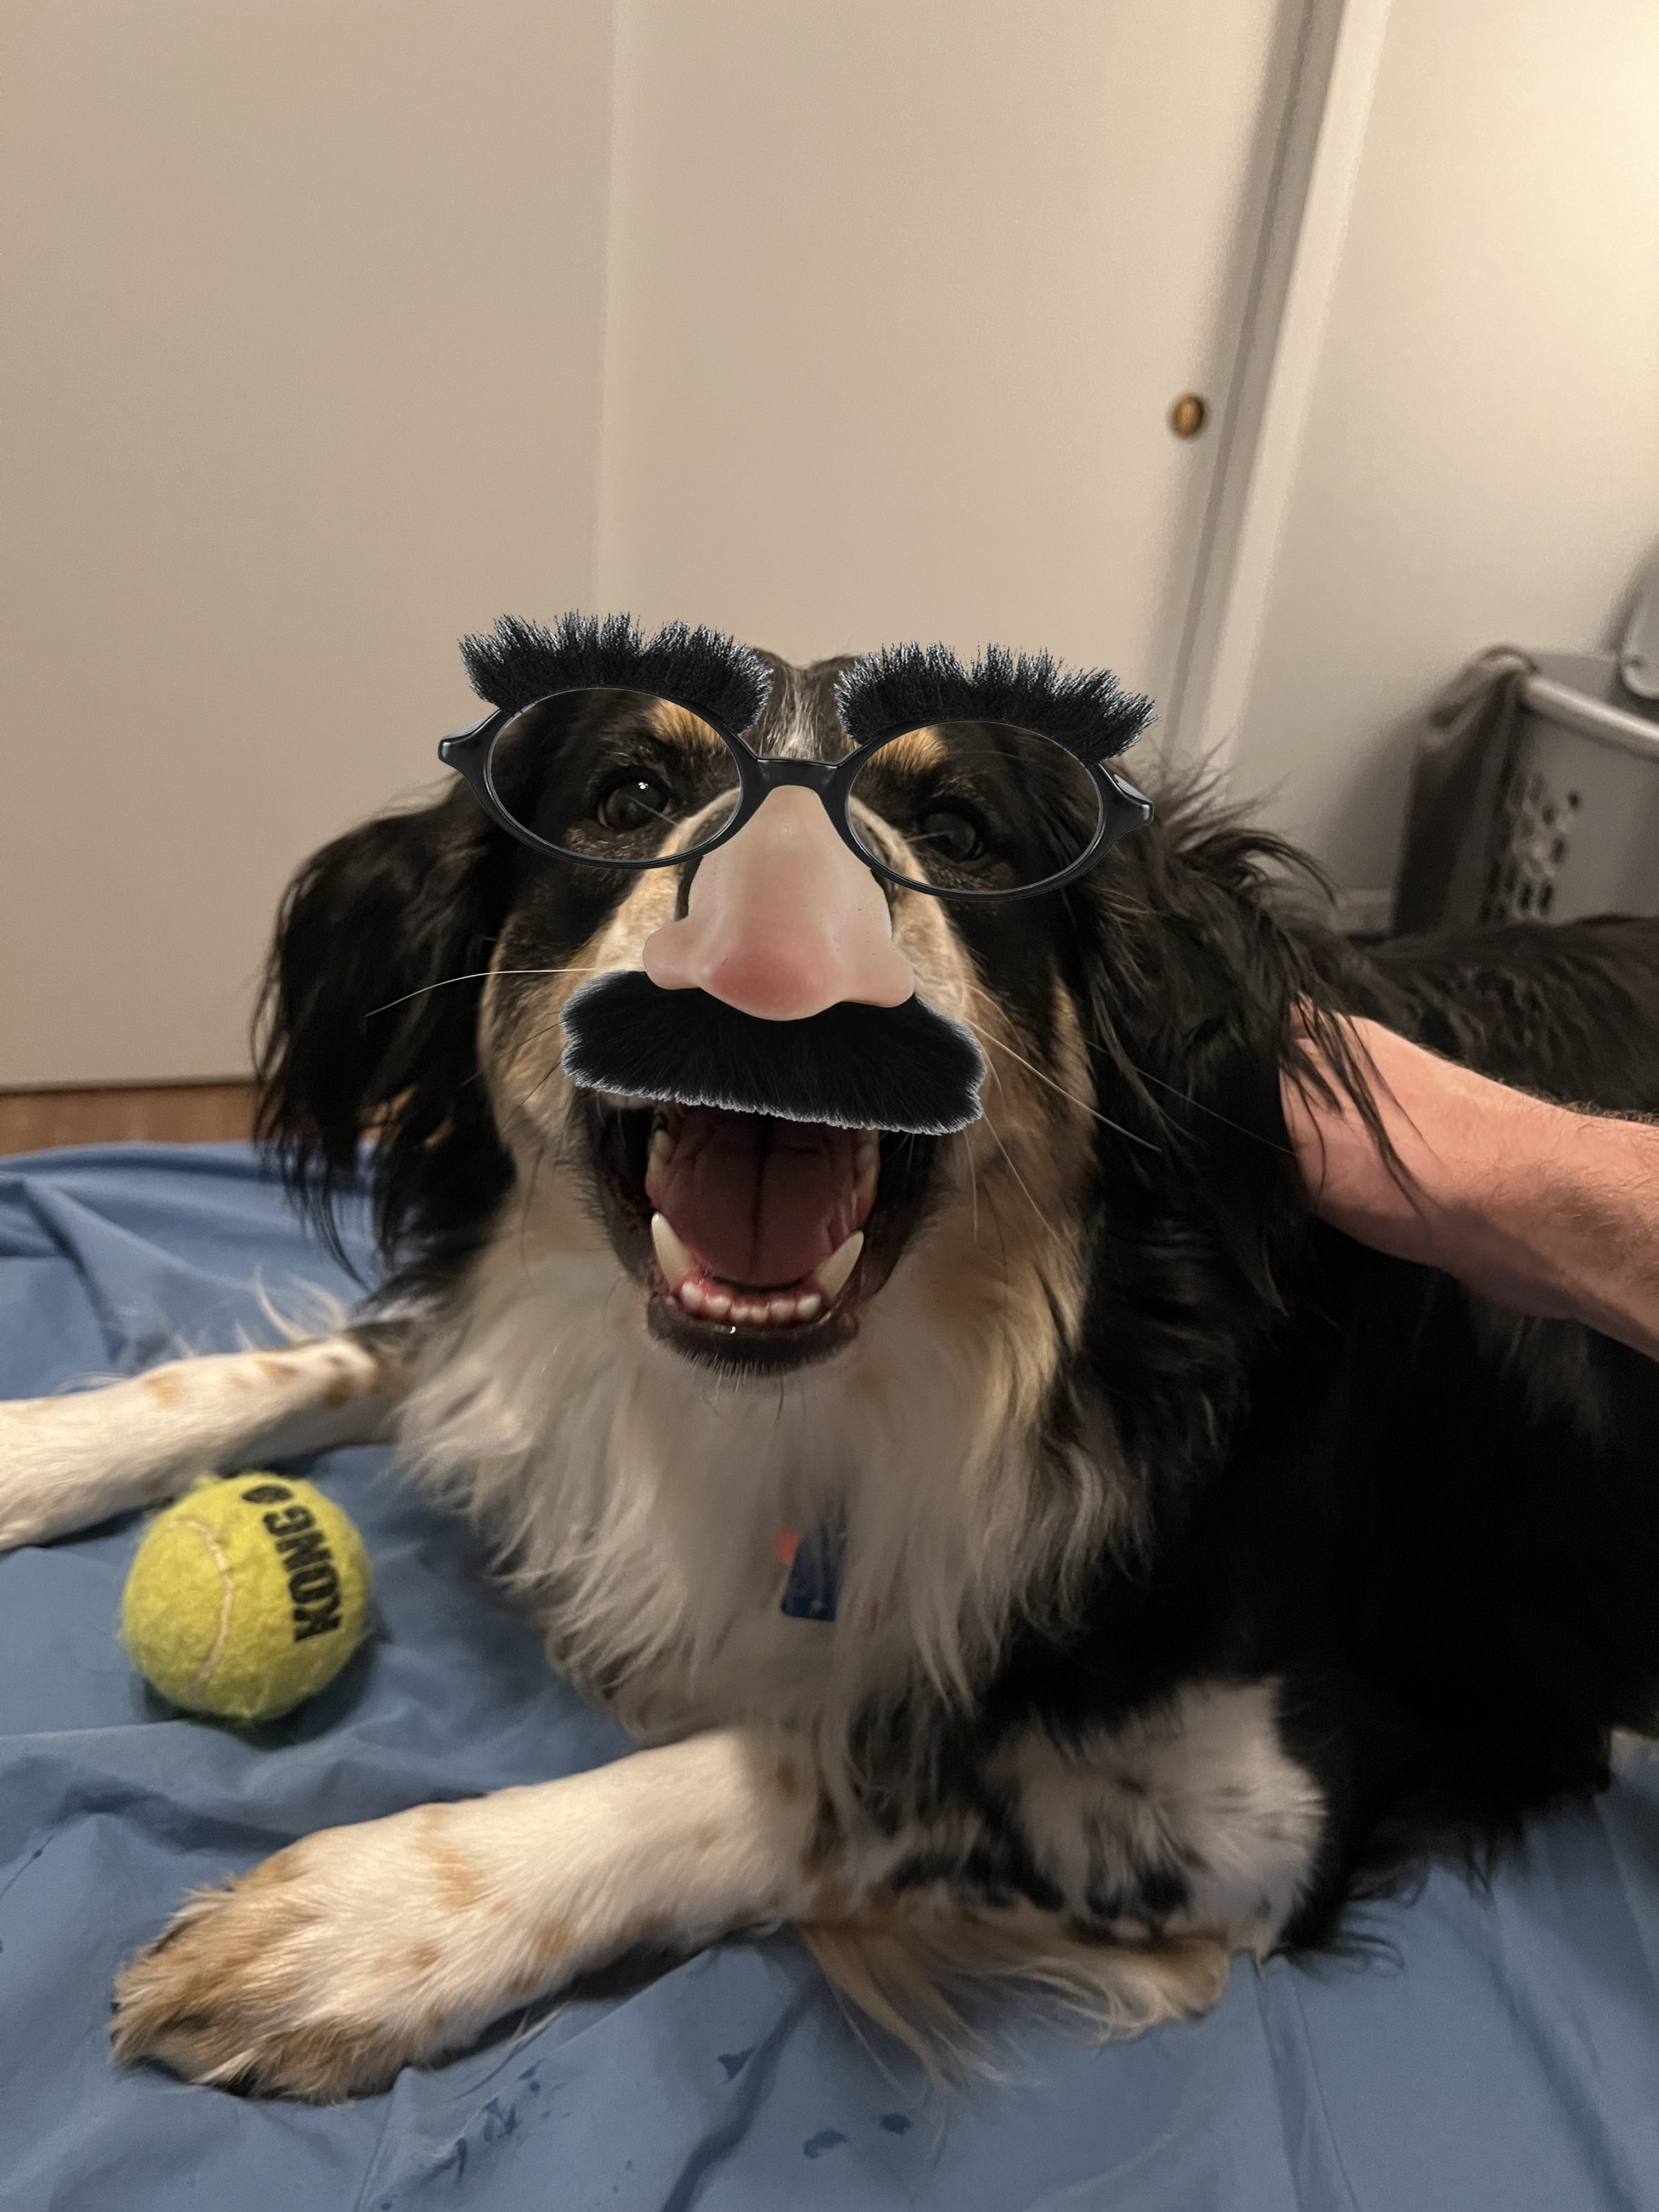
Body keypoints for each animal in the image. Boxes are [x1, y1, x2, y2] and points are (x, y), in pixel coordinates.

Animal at [3, 614, 1659, 2097]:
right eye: (629, 796)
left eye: (959, 828)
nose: (779, 919)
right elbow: (320, 1365)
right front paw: (41, 1446)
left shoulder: (1268, 1797)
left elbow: (827, 1763)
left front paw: (373, 1923)